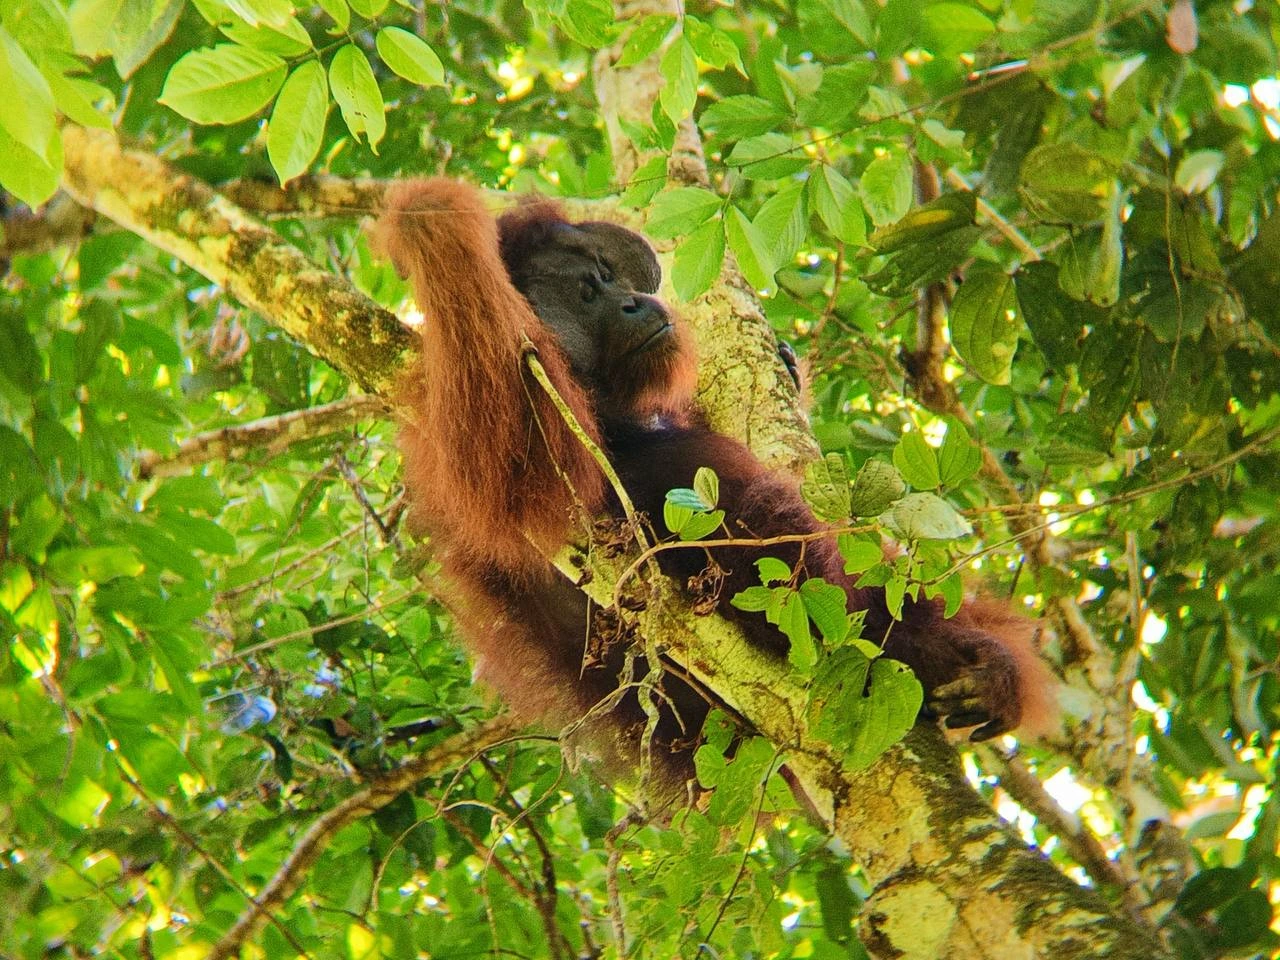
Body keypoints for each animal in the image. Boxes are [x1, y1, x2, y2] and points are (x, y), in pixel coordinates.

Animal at [372, 178, 1055, 788]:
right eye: (590, 291)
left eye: (611, 277)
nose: (634, 302)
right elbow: (516, 462)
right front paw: (428, 216)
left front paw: (788, 366)